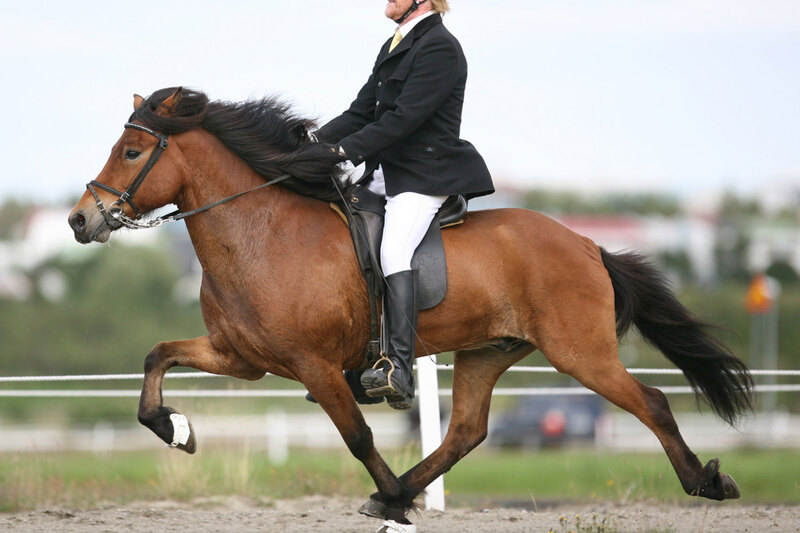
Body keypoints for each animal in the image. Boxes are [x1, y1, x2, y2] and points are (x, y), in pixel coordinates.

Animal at [68, 87, 753, 530]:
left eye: (132, 153)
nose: (80, 220)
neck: (259, 232)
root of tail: (585, 242)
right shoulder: (241, 358)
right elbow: (157, 357)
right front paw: (175, 429)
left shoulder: (314, 365)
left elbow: (357, 435)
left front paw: (392, 496)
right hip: (486, 352)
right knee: (467, 431)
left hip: (580, 352)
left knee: (651, 402)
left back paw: (706, 481)